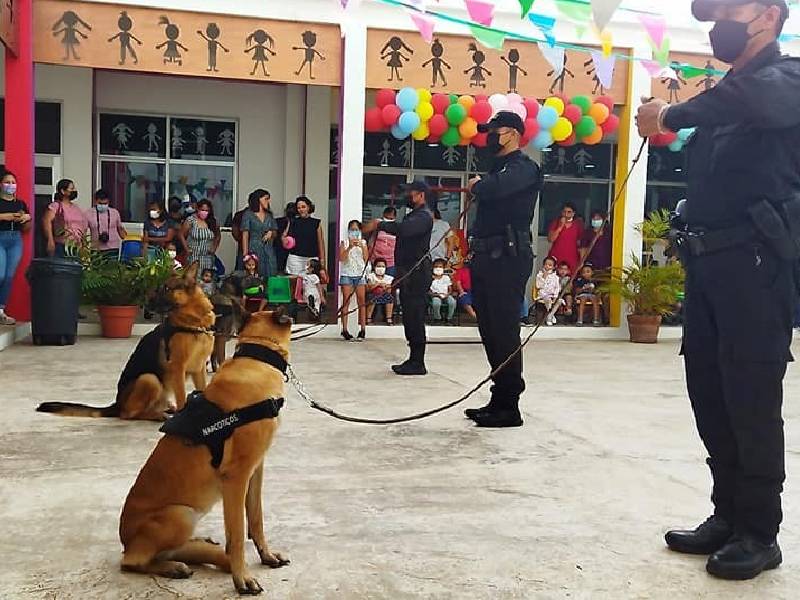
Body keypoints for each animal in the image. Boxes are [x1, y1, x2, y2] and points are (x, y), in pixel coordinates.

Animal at [37, 262, 216, 422]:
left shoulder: (200, 368)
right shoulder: (178, 368)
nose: (147, 305)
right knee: (129, 414)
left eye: (166, 289)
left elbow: (204, 390)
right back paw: (158, 415)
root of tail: (117, 404)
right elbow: (182, 398)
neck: (194, 322)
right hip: (149, 379)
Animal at [117, 310, 292, 596]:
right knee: (133, 561)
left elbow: (256, 519)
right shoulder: (236, 478)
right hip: (180, 515)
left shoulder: (256, 470)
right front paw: (242, 578)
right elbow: (236, 535)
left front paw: (266, 555)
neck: (256, 360)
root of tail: (125, 539)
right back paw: (173, 567)